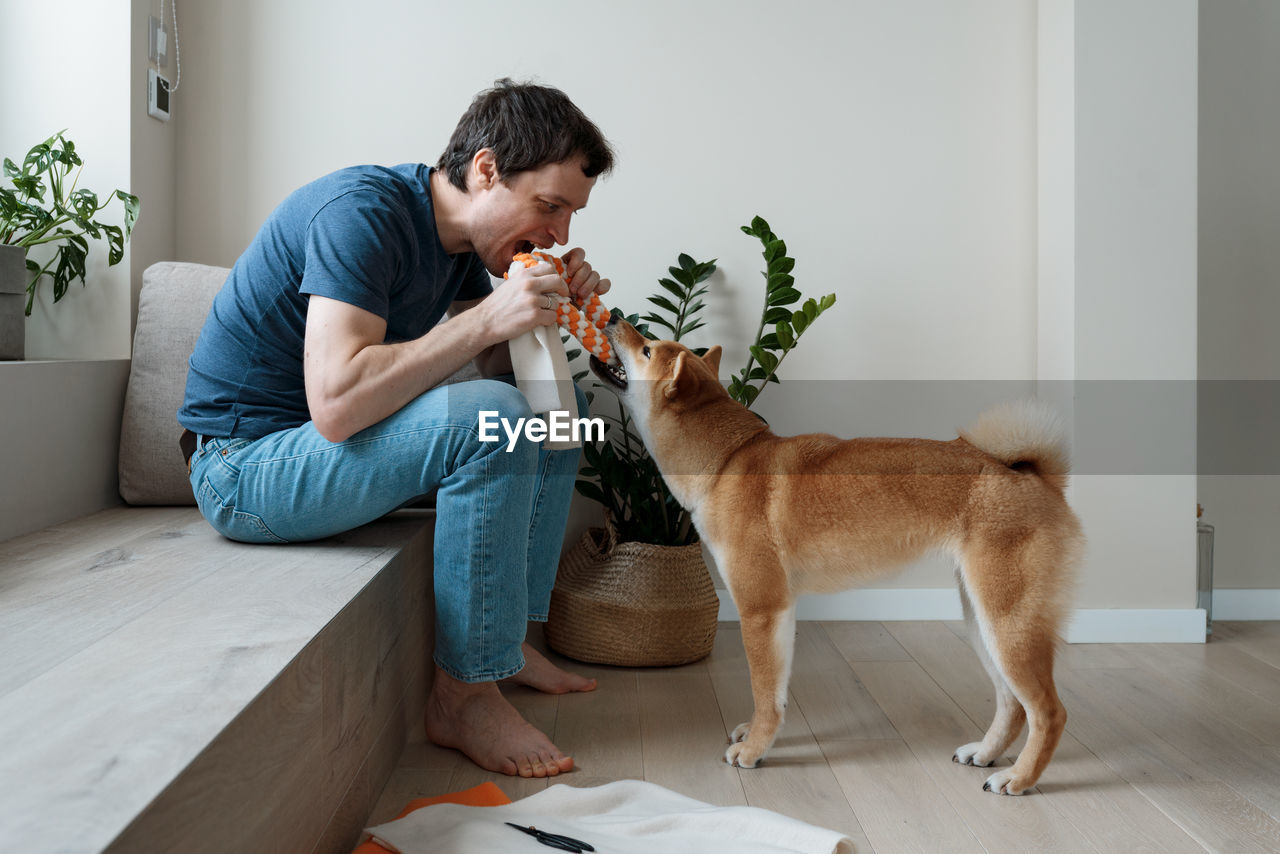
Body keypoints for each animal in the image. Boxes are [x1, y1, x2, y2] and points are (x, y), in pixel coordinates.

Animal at [588, 316, 1080, 793]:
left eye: (647, 348)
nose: (614, 317)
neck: (727, 461)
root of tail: (1032, 474)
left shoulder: (760, 610)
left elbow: (763, 690)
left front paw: (753, 752)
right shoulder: (781, 612)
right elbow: (776, 696)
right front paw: (760, 735)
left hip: (1007, 624)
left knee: (1049, 713)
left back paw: (1019, 778)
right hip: (983, 621)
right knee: (1013, 704)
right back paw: (986, 753)